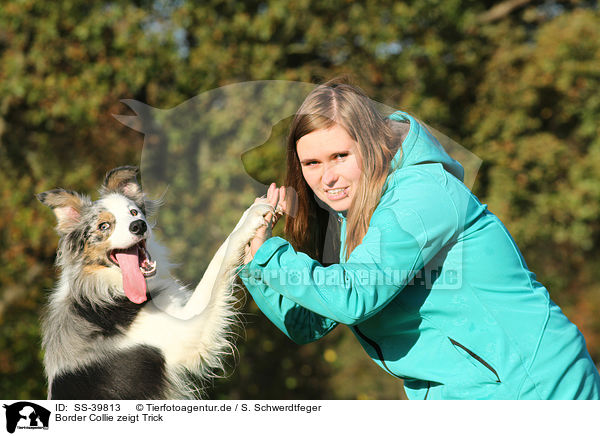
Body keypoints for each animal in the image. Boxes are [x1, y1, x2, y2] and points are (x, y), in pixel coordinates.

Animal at [37, 166, 272, 398]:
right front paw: (252, 215)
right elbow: (221, 256)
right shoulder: (188, 331)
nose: (139, 225)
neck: (104, 292)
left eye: (134, 212)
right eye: (104, 226)